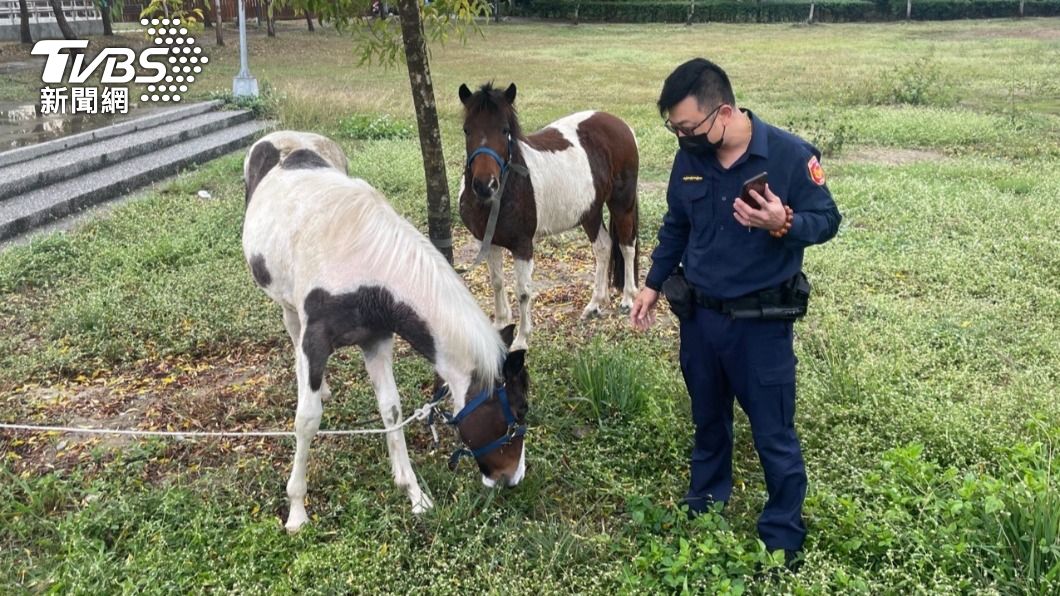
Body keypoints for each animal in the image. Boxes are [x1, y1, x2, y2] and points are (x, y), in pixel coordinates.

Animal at [242, 130, 530, 533]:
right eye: (519, 411)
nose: (513, 477)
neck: (367, 265)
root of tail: (281, 139)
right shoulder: (316, 339)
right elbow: (307, 420)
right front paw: (297, 510)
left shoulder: (376, 339)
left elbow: (391, 411)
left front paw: (414, 494)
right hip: (285, 302)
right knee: (293, 333)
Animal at [458, 82, 641, 351]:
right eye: (467, 130)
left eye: (505, 130)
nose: (485, 185)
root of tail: (621, 124)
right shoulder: (487, 242)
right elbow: (497, 282)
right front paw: (500, 324)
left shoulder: (523, 246)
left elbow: (523, 291)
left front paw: (521, 340)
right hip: (590, 212)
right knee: (603, 247)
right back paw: (595, 304)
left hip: (622, 204)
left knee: (627, 247)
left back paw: (628, 298)